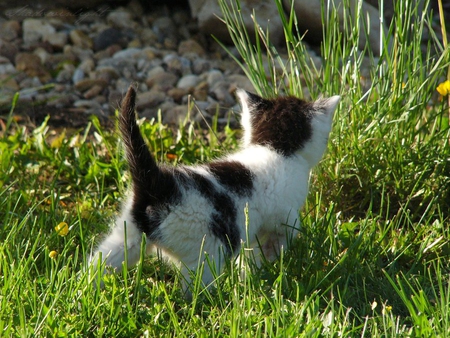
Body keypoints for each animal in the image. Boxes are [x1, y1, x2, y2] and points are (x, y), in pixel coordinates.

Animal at [89, 86, 340, 292]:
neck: (275, 148)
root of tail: (158, 184)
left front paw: (250, 274)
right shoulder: (284, 218)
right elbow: (277, 242)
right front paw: (263, 270)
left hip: (126, 236)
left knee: (98, 264)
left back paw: (86, 291)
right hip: (206, 252)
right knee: (193, 290)